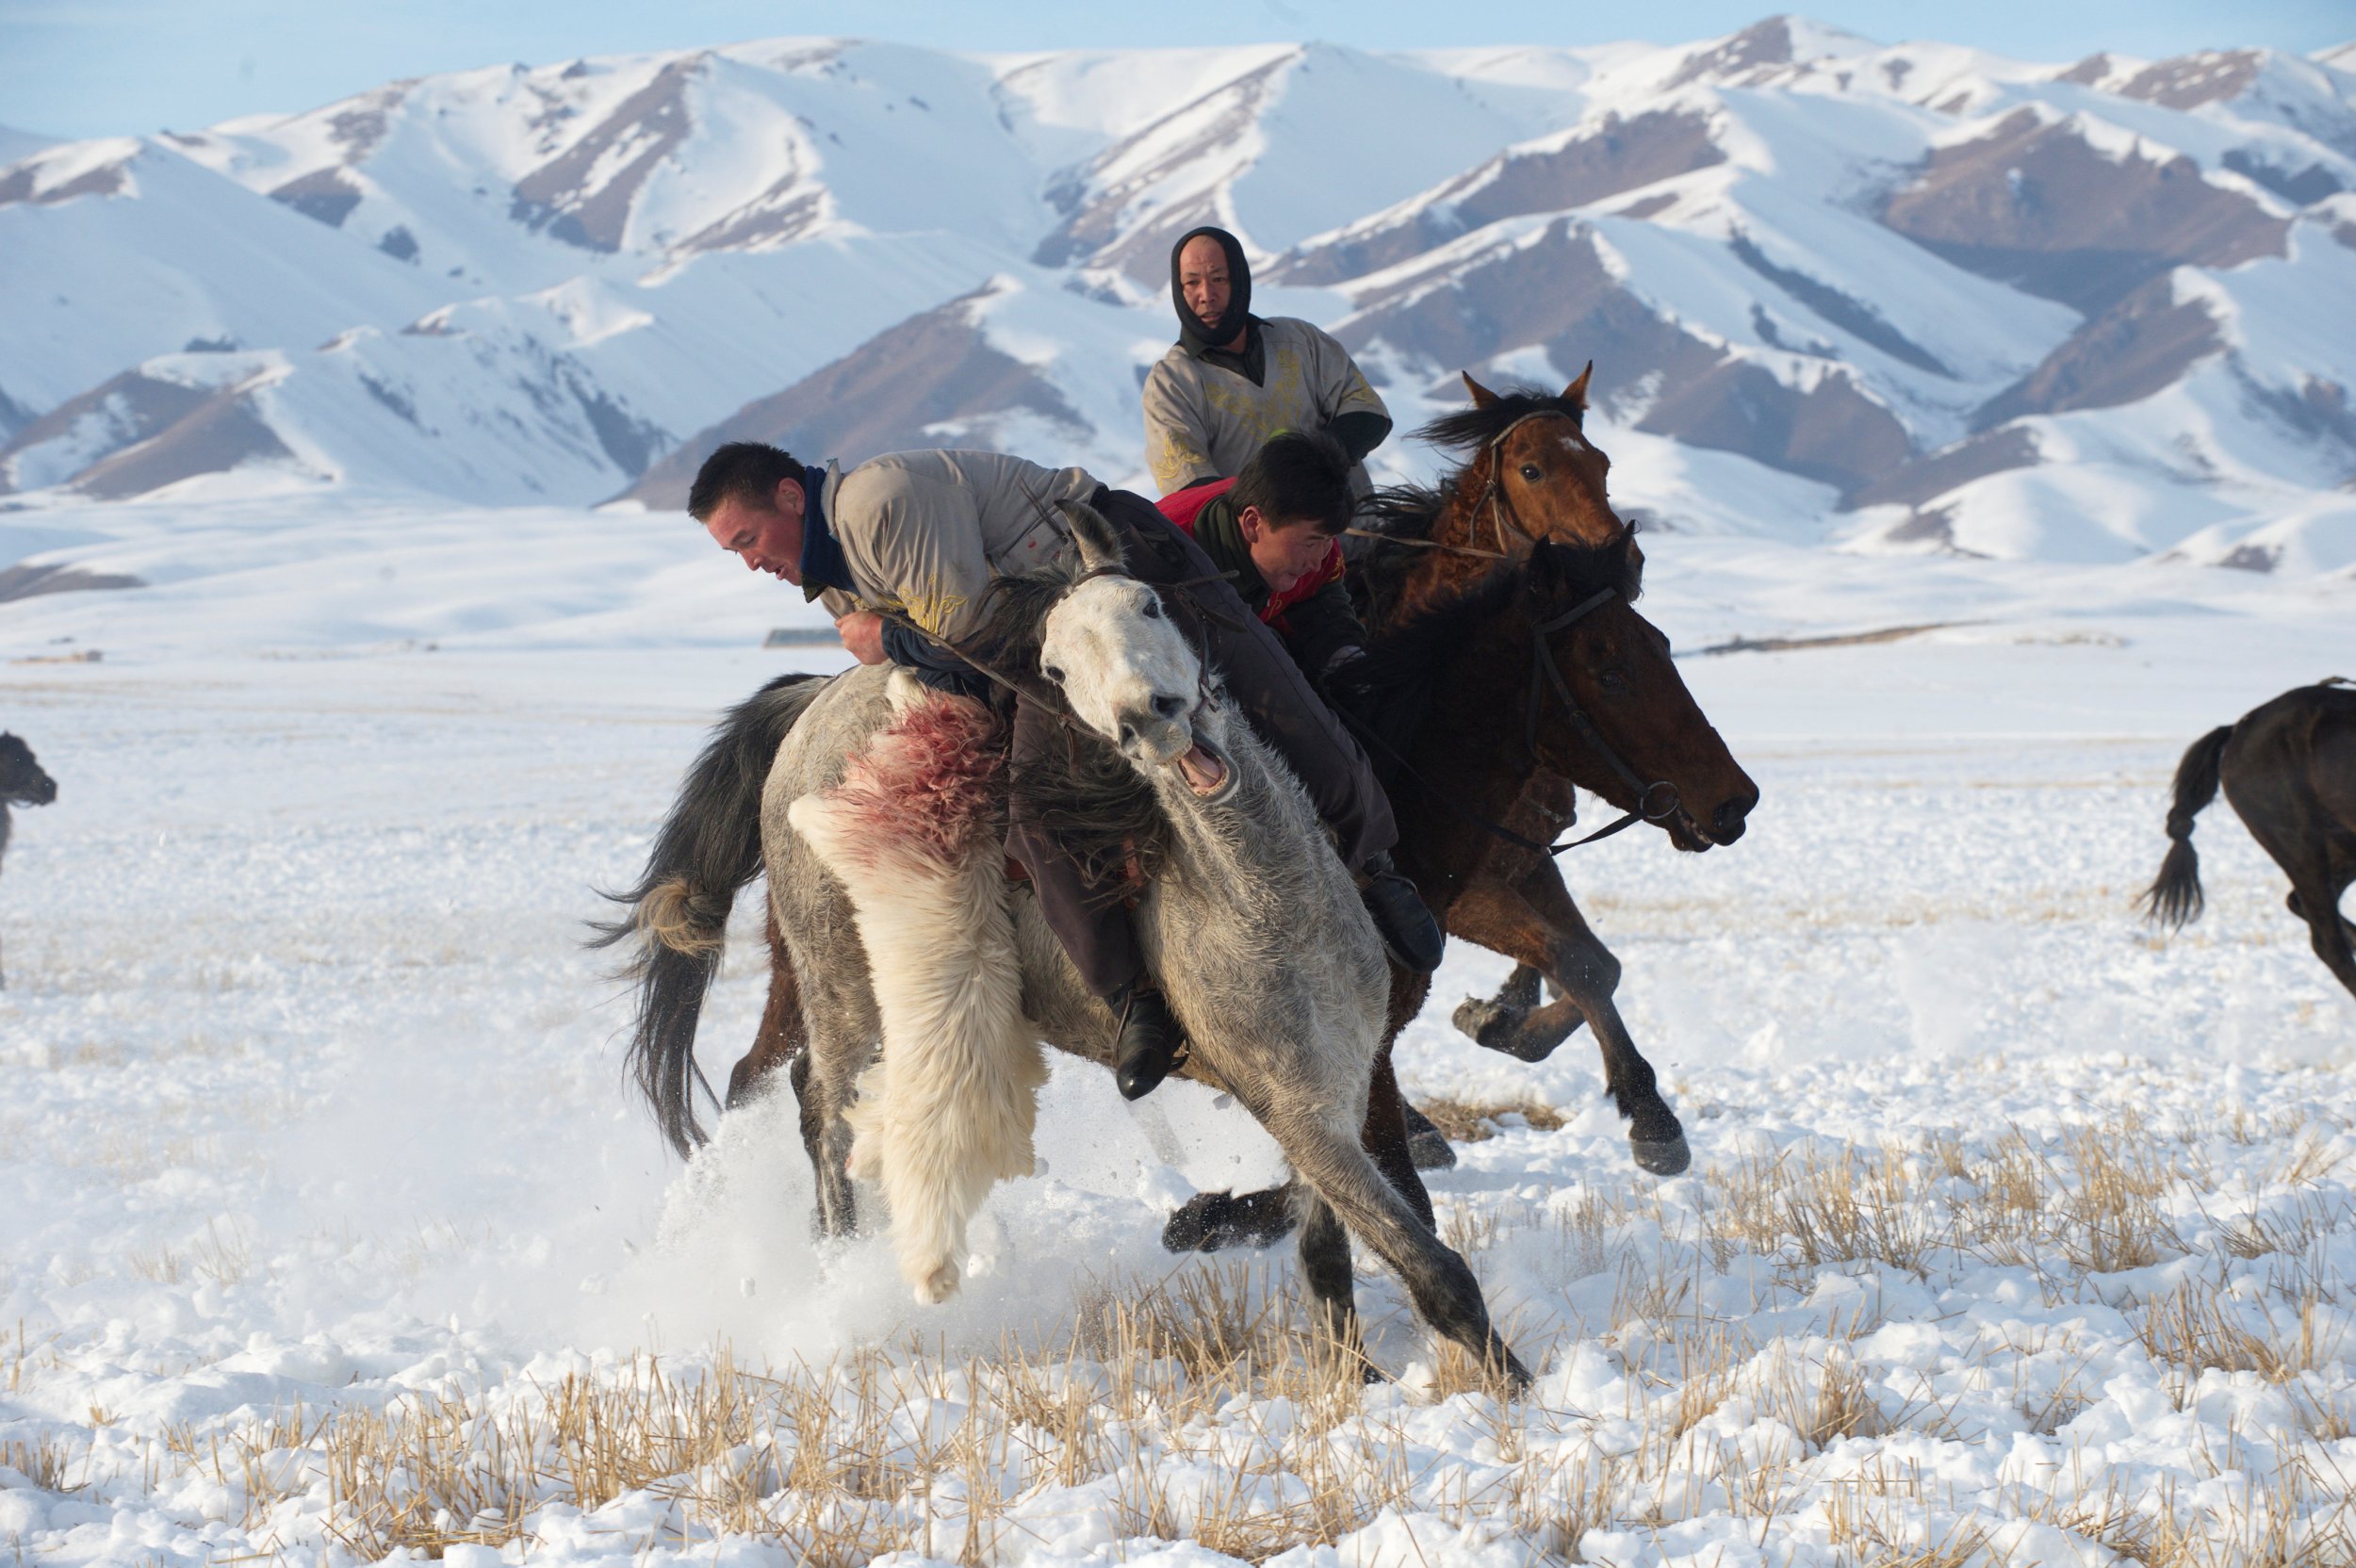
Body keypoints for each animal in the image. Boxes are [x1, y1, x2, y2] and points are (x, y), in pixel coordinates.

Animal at [744, 497, 1536, 1384]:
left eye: (1150, 604)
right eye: (1053, 671)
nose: (1143, 718)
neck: (1275, 907)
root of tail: (808, 723)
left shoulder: (1334, 1087)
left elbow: (1329, 1254)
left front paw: (1355, 1378)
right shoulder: (1298, 1110)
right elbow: (1431, 1267)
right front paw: (1514, 1392)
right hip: (842, 992)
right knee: (826, 1110)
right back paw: (841, 1263)